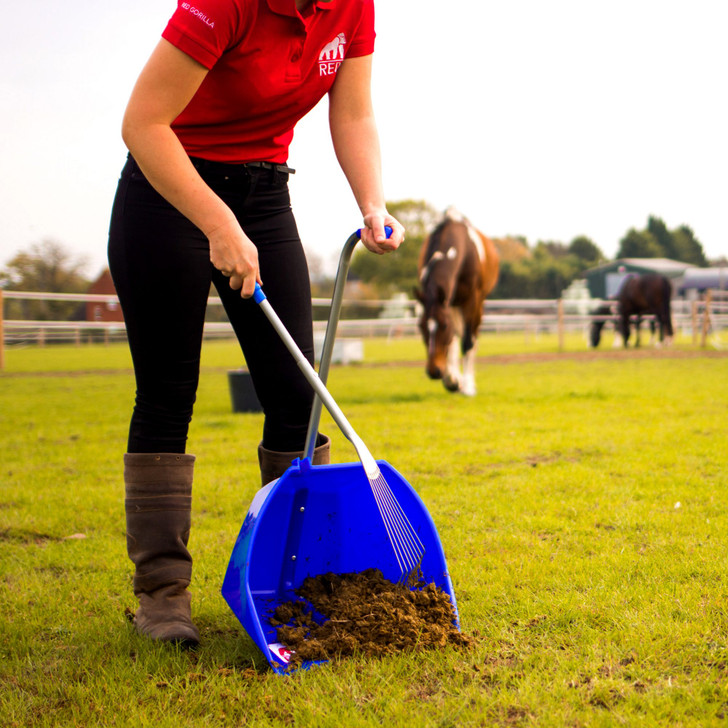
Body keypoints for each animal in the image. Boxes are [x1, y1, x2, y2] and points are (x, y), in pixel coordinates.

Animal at [412, 208, 498, 396]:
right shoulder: (446, 303)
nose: (434, 371)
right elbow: (452, 340)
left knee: (472, 337)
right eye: (421, 327)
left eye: (444, 326)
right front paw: (452, 380)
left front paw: (467, 386)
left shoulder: (472, 300)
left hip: (476, 306)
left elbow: (467, 341)